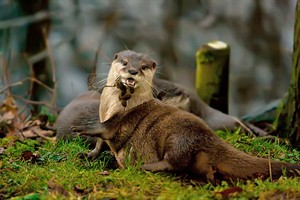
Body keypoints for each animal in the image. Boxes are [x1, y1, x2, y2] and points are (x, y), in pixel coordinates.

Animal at [79, 50, 300, 183]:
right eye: (124, 62)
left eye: (142, 67)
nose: (132, 71)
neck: (111, 108)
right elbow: (100, 141)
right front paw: (89, 154)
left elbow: (108, 130)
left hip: (183, 136)